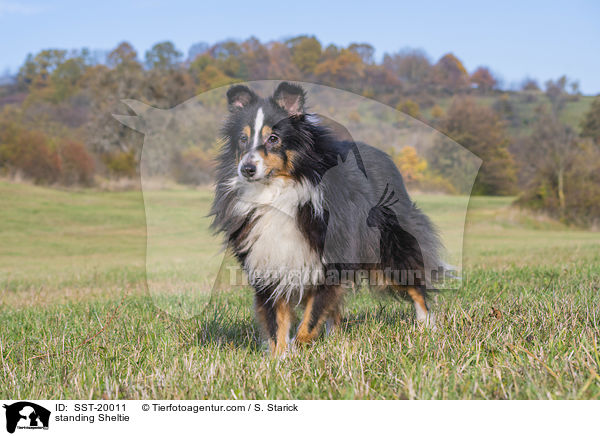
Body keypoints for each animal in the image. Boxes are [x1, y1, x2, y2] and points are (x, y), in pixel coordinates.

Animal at [210, 82, 440, 354]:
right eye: (243, 139)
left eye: (274, 138)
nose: (246, 169)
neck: (278, 190)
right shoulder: (268, 261)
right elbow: (277, 319)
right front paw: (279, 356)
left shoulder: (330, 257)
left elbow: (310, 319)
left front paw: (296, 349)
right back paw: (334, 338)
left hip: (390, 245)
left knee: (414, 284)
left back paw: (427, 327)